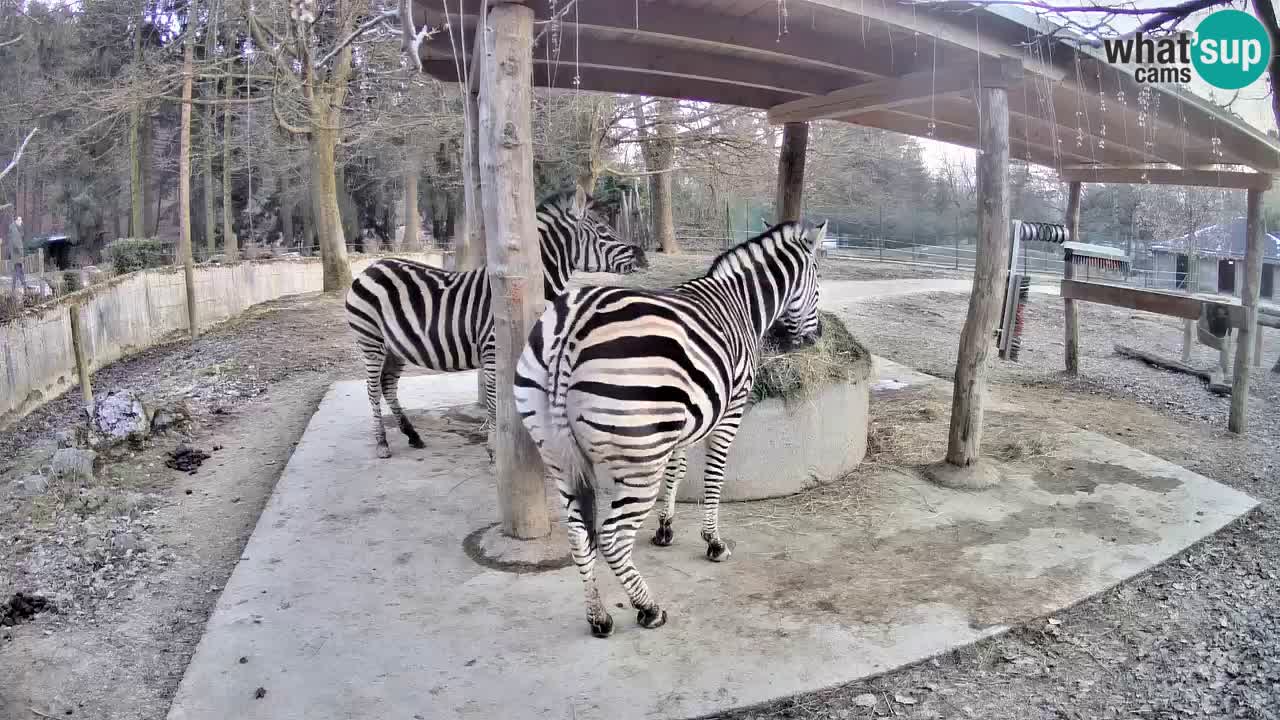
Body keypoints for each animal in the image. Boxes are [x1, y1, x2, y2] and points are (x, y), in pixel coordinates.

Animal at [345, 190, 645, 456]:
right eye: (603, 230)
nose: (643, 255)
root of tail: (370, 267)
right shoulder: (492, 350)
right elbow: (493, 401)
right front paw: (493, 449)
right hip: (371, 340)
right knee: (373, 389)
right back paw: (382, 443)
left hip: (395, 347)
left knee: (387, 386)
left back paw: (412, 435)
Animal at [512, 220, 824, 632]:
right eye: (818, 280)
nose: (816, 338)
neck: (741, 303)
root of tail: (572, 327)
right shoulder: (730, 409)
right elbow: (713, 476)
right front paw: (713, 541)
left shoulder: (683, 420)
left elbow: (677, 470)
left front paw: (665, 529)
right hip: (639, 461)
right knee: (610, 537)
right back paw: (648, 608)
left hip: (557, 453)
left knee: (579, 535)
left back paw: (598, 616)